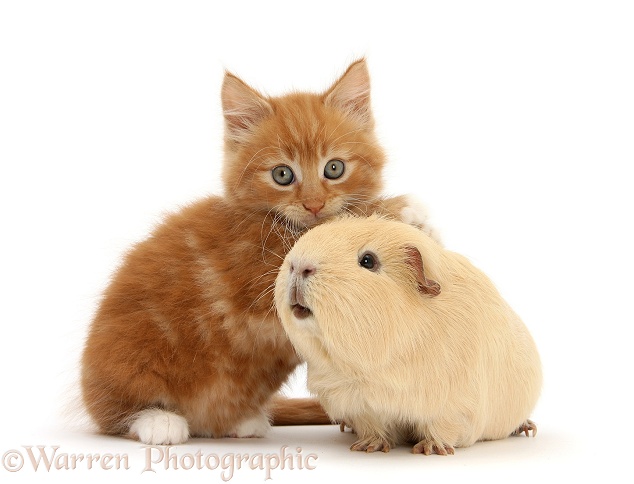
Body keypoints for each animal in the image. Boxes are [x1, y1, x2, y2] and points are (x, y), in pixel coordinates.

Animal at [80, 58, 430, 444]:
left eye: (334, 168)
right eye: (282, 175)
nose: (314, 205)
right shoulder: (261, 276)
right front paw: (398, 210)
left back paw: (242, 422)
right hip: (127, 359)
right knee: (113, 416)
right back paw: (158, 421)